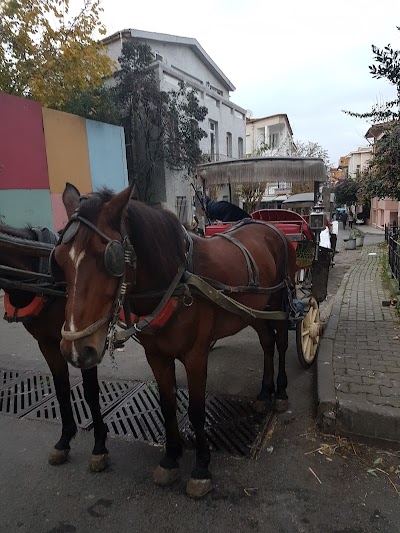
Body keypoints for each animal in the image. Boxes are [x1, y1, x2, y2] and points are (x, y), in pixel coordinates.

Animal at [0, 184, 108, 470]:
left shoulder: (85, 342)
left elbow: (91, 393)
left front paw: (99, 445)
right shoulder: (47, 344)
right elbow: (60, 390)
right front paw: (64, 439)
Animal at [53, 184, 296, 498]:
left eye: (108, 258)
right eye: (59, 259)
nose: (75, 350)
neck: (175, 282)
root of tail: (268, 227)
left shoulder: (196, 357)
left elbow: (196, 411)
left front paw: (201, 467)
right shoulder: (157, 356)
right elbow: (167, 405)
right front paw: (170, 458)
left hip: (279, 301)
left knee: (280, 343)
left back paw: (279, 393)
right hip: (253, 309)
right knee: (266, 343)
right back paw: (264, 394)